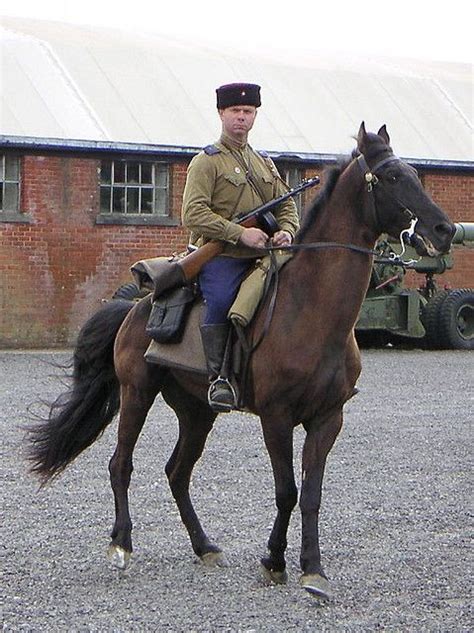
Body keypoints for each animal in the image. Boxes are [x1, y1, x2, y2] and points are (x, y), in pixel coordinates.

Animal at [28, 123, 456, 596]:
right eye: (393, 177)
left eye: (416, 173)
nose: (446, 229)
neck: (310, 310)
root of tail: (136, 307)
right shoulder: (276, 417)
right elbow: (287, 490)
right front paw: (274, 560)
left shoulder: (328, 418)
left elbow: (311, 494)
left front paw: (313, 569)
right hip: (136, 394)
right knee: (121, 464)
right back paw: (122, 545)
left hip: (197, 411)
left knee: (177, 472)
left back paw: (204, 546)